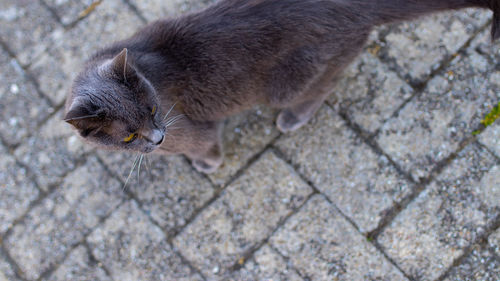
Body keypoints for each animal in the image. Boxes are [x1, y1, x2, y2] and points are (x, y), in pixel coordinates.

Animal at [65, 0, 500, 172]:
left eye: (154, 110)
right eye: (127, 136)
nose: (157, 138)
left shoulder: (189, 128)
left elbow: (203, 144)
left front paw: (206, 163)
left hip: (288, 82)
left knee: (322, 86)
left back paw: (293, 117)